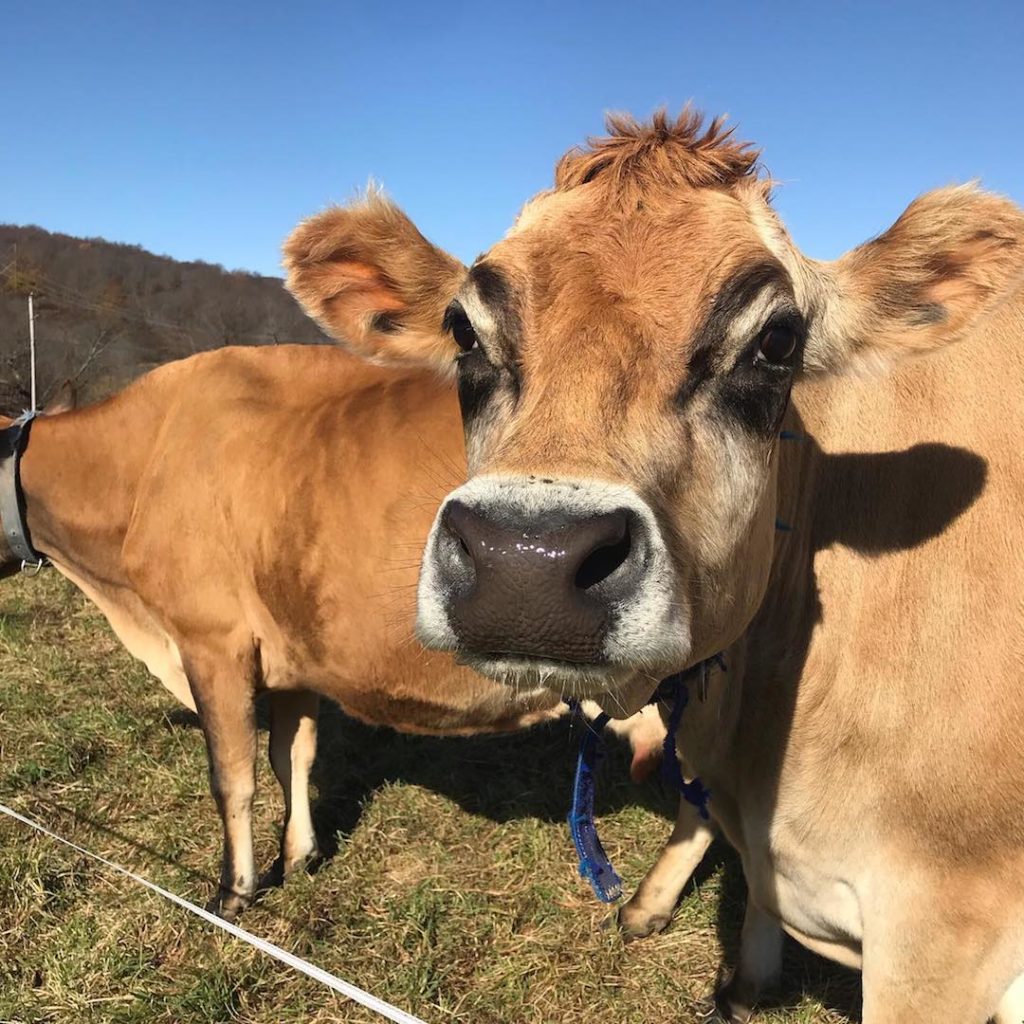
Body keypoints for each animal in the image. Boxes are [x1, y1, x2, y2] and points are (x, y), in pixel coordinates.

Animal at [0, 353, 663, 921]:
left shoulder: (211, 640)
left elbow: (232, 777)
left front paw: (233, 894)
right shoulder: (295, 651)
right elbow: (290, 756)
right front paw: (299, 856)